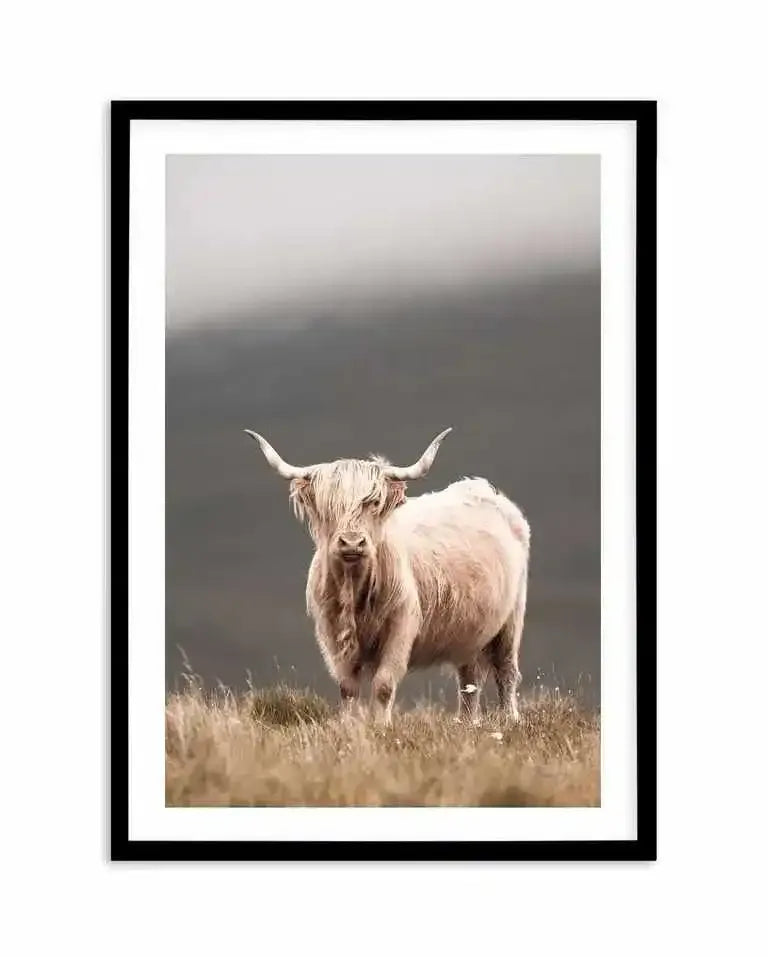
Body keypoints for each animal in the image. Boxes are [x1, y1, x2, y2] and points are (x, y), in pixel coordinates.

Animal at [245, 428, 530, 726]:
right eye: (328, 506)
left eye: (374, 502)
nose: (352, 542)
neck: (355, 591)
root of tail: (482, 489)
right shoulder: (332, 633)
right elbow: (347, 687)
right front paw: (350, 726)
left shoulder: (401, 626)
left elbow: (383, 684)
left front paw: (382, 726)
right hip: (470, 631)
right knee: (469, 678)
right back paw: (467, 722)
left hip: (511, 619)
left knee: (507, 670)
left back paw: (510, 719)